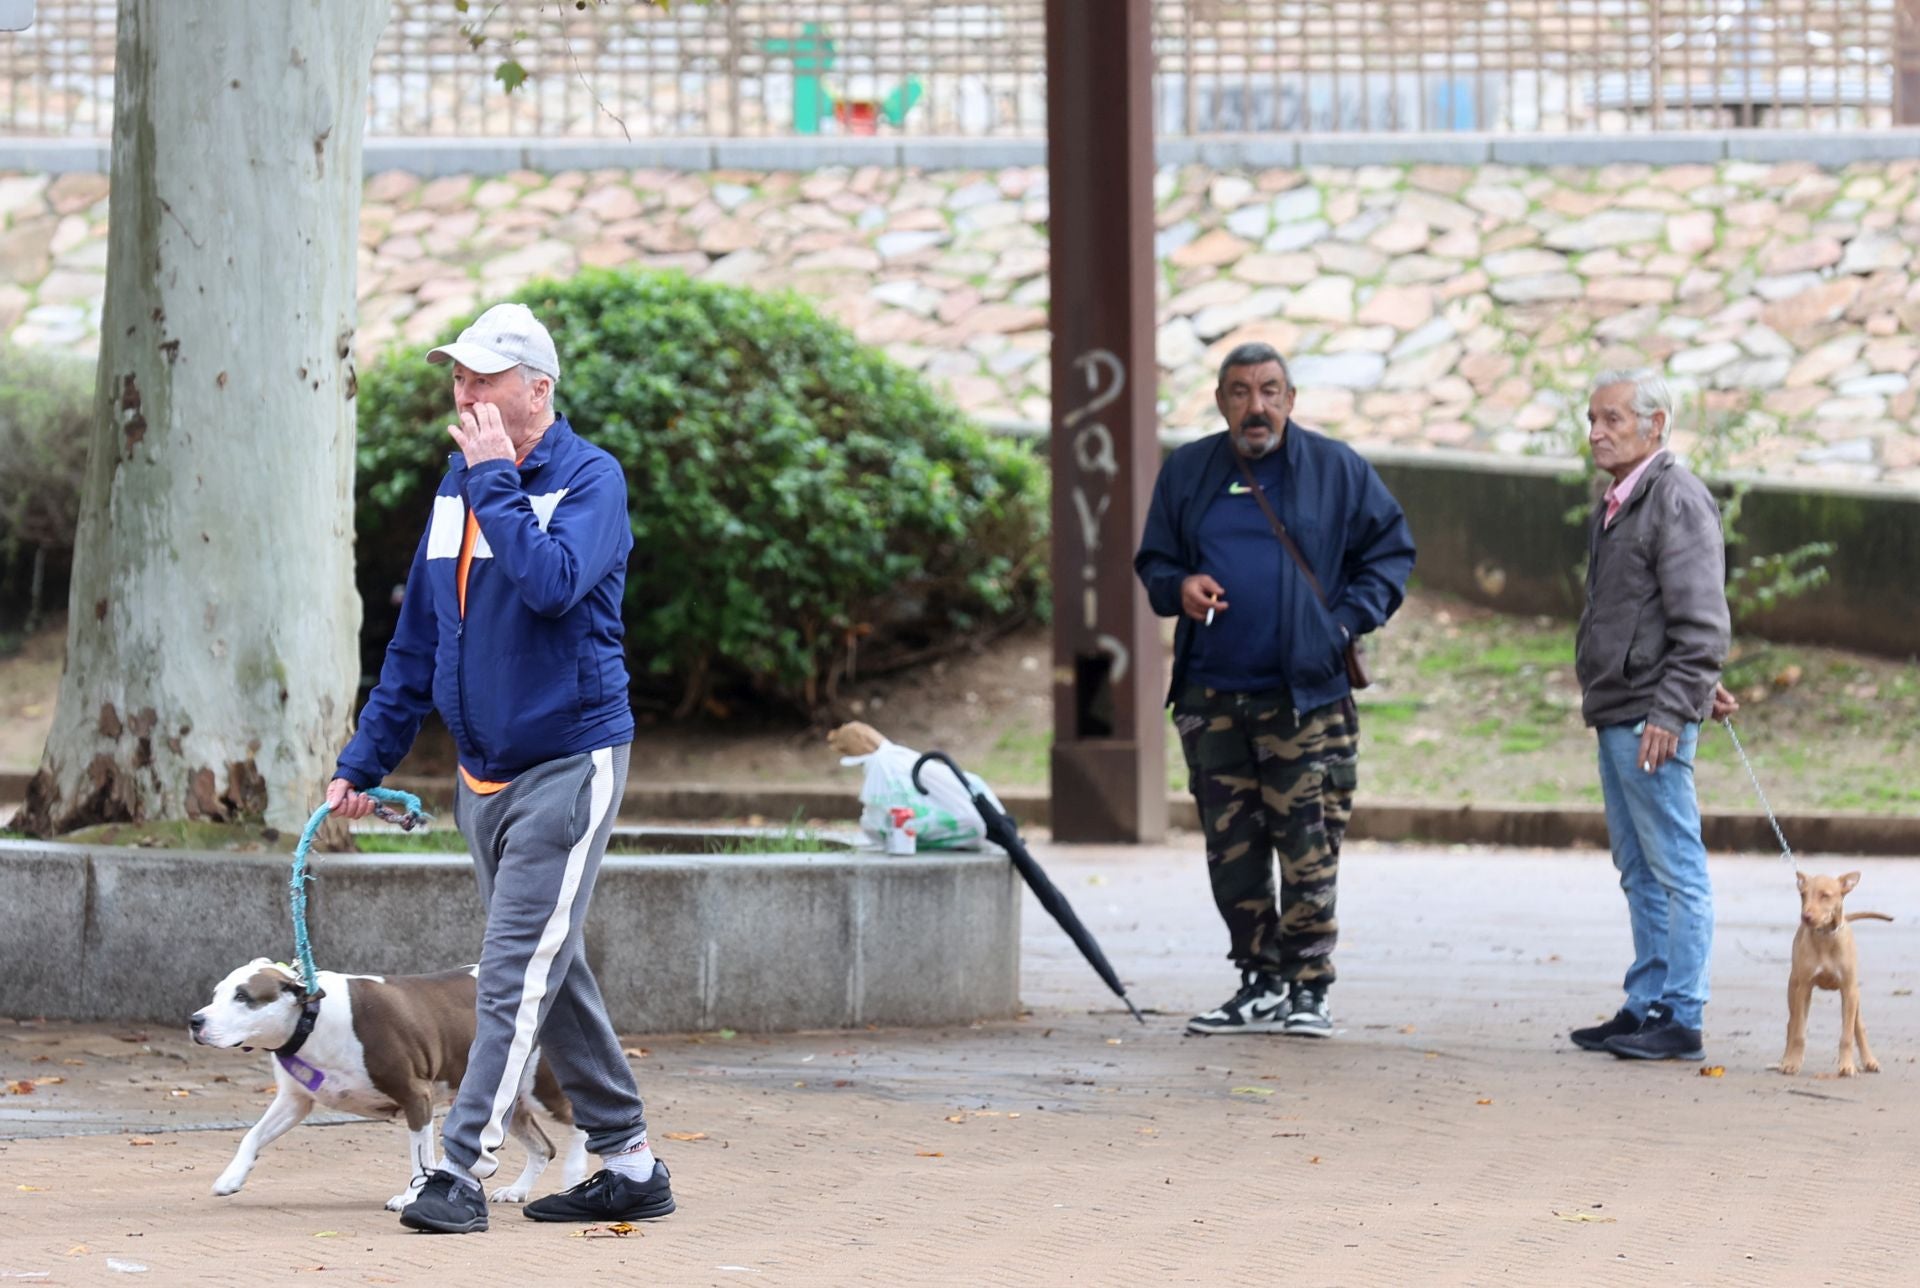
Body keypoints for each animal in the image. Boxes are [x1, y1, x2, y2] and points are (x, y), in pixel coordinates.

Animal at [193, 963, 587, 1213]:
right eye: (216, 993)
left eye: (243, 997)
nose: (195, 1020)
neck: (311, 1018)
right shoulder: (294, 1101)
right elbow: (252, 1136)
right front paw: (231, 1177)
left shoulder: (416, 1095)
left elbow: (420, 1156)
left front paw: (411, 1198)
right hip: (507, 1098)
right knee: (543, 1147)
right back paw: (518, 1190)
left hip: (539, 1087)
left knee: (578, 1119)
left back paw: (575, 1171)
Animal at [1781, 875, 1889, 1074]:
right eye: (1803, 895)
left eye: (1825, 895)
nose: (1805, 917)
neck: (1826, 937)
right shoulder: (1804, 989)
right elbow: (1799, 1032)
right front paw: (1792, 1062)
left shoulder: (1849, 990)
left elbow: (1847, 1035)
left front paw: (1847, 1065)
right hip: (1793, 988)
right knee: (1792, 1023)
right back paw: (1785, 1059)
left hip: (1855, 996)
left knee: (1858, 1026)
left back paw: (1869, 1060)